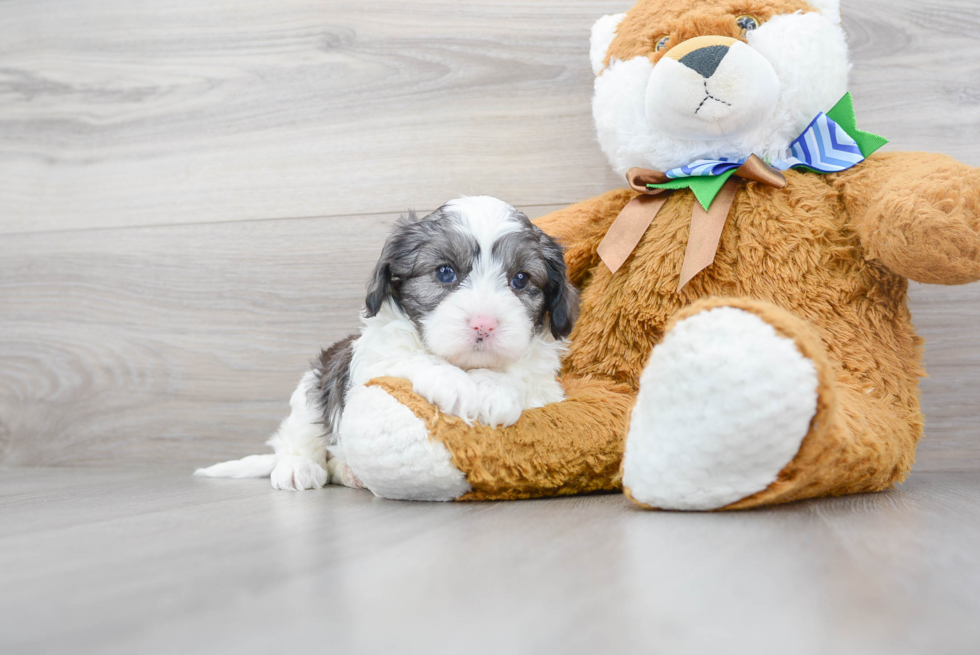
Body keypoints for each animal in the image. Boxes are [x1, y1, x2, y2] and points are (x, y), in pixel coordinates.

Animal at [195, 199, 580, 492]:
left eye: (521, 280)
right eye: (445, 272)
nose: (483, 323)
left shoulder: (545, 389)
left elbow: (519, 381)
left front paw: (494, 390)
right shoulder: (374, 360)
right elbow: (409, 358)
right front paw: (454, 384)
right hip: (312, 391)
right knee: (298, 438)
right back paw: (297, 468)